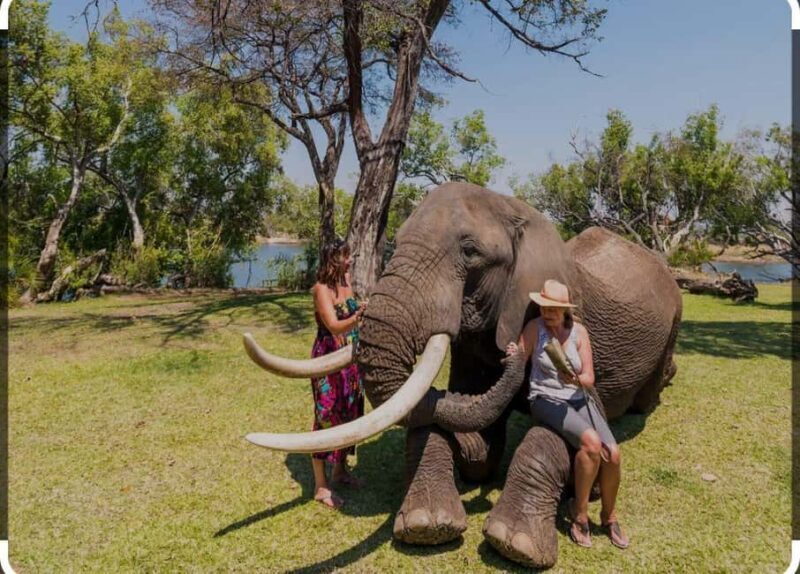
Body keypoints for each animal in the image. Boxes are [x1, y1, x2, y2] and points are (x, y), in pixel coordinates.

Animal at [243, 182, 682, 568]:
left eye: (470, 252)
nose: (516, 354)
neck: (518, 212)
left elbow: (562, 437)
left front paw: (517, 544)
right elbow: (474, 444)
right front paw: (427, 524)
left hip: (675, 317)